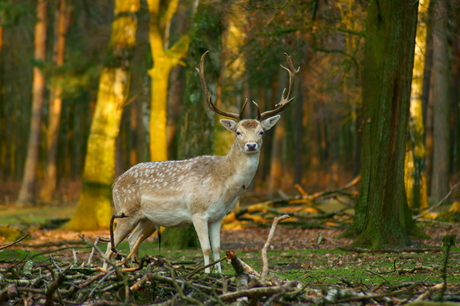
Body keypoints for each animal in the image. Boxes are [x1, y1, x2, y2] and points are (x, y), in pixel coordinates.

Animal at [103, 50, 300, 272]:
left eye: (261, 132)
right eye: (238, 132)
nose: (251, 146)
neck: (224, 188)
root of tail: (115, 182)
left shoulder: (218, 217)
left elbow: (217, 249)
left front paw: (219, 274)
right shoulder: (197, 212)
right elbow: (205, 249)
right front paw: (206, 274)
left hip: (147, 220)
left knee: (132, 239)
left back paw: (134, 268)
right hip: (125, 211)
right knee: (109, 243)